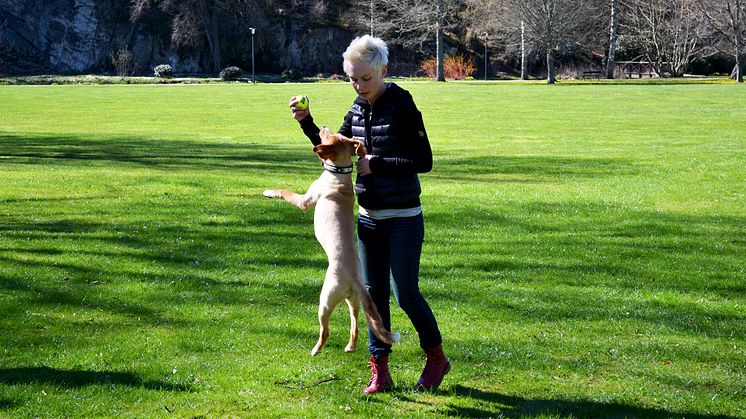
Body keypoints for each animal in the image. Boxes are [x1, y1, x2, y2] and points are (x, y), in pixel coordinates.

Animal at [264, 126, 398, 356]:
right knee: (355, 323)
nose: (324, 126)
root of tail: (355, 280)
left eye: (328, 135)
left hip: (325, 300)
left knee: (325, 329)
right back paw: (350, 346)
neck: (339, 174)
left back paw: (316, 349)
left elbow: (285, 192)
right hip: (353, 301)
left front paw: (269, 192)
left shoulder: (305, 201)